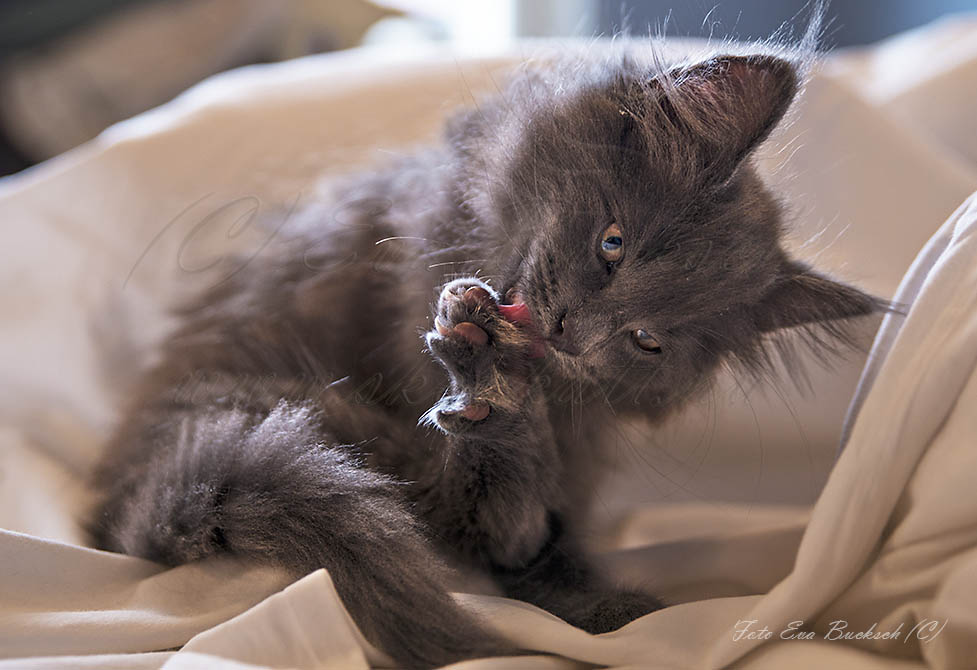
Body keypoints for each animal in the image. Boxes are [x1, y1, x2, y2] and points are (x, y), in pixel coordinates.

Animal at [91, 44, 880, 668]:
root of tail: (139, 494)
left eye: (647, 340)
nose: (567, 332)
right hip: (285, 405)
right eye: (612, 243)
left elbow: (537, 544)